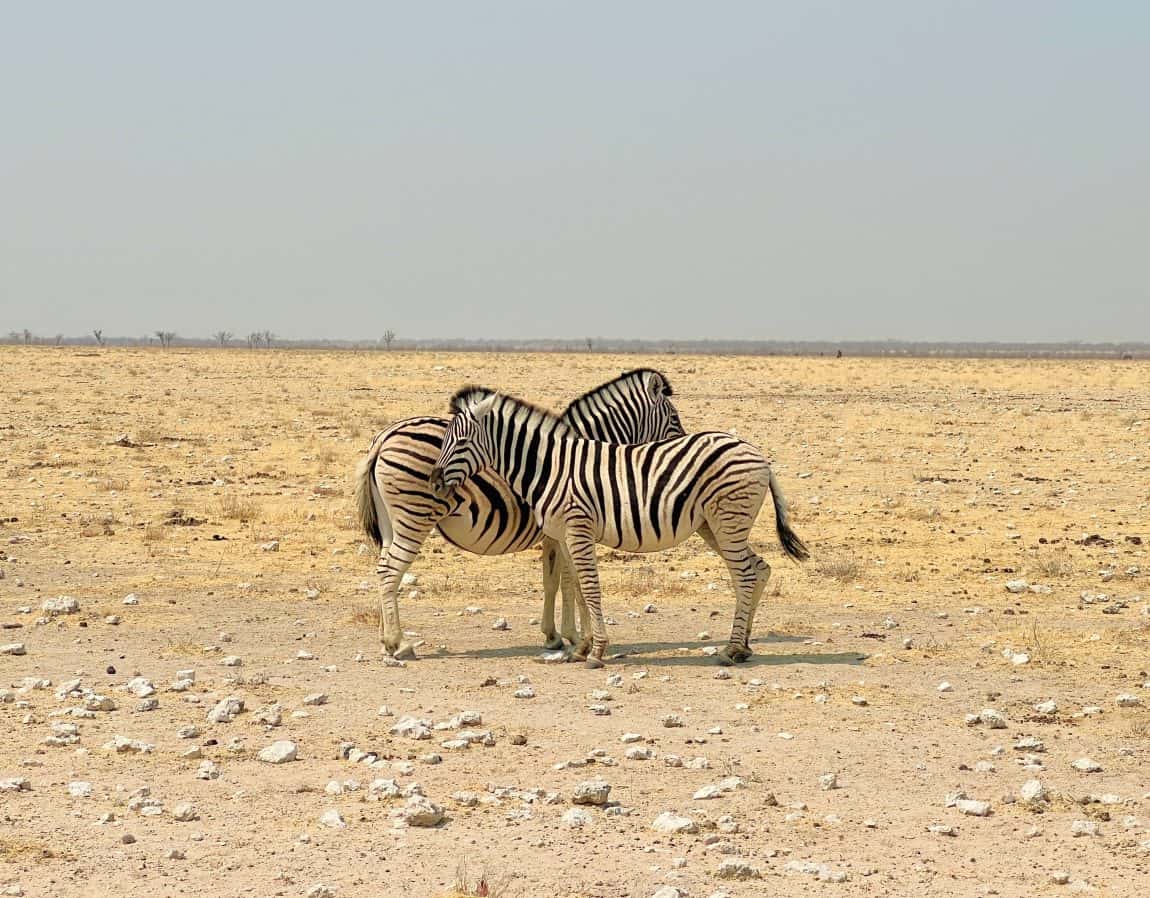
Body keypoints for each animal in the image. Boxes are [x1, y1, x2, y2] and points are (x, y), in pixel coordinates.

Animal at [353, 369, 684, 658]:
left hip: (391, 522)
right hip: (415, 515)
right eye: (674, 417)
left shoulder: (555, 532)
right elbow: (570, 580)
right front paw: (577, 637)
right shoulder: (567, 527)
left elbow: (554, 580)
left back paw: (386, 638)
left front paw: (555, 635)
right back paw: (398, 642)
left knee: (384, 569)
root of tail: (385, 436)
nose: (681, 443)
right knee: (391, 570)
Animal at [428, 388, 809, 667]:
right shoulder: (563, 534)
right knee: (757, 569)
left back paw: (731, 650)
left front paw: (596, 652)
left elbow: (589, 587)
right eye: (444, 439)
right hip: (714, 526)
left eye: (460, 443)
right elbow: (576, 586)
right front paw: (581, 646)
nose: (433, 481)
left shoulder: (578, 528)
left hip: (727, 520)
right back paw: (743, 646)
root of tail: (759, 455)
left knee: (745, 575)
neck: (550, 467)